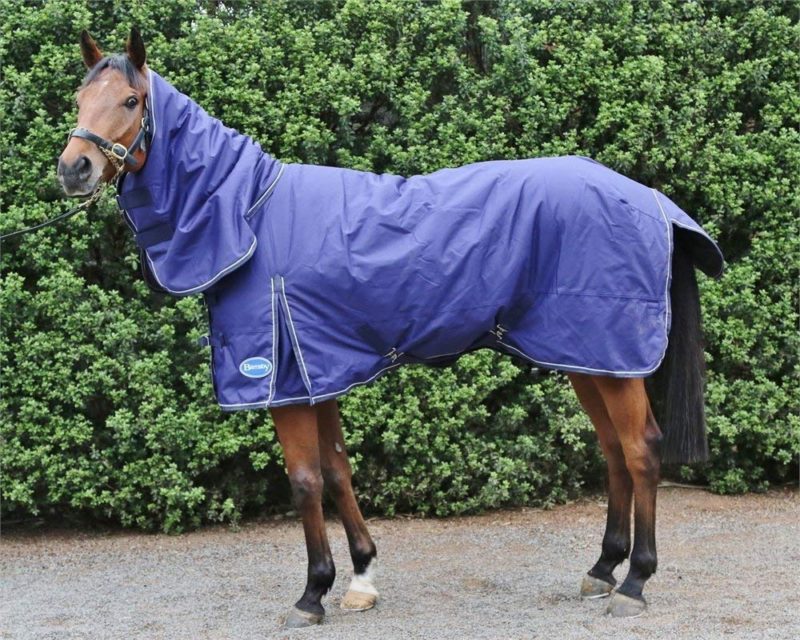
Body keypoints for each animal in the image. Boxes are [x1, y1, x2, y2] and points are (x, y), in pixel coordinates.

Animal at [58, 29, 723, 627]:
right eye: (79, 98)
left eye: (130, 100)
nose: (74, 169)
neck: (249, 214)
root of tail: (651, 200)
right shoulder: (317, 368)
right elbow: (337, 469)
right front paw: (360, 577)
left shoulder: (282, 378)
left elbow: (304, 480)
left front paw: (311, 593)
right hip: (587, 354)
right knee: (613, 450)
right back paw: (602, 568)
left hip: (613, 356)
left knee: (641, 449)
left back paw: (634, 582)